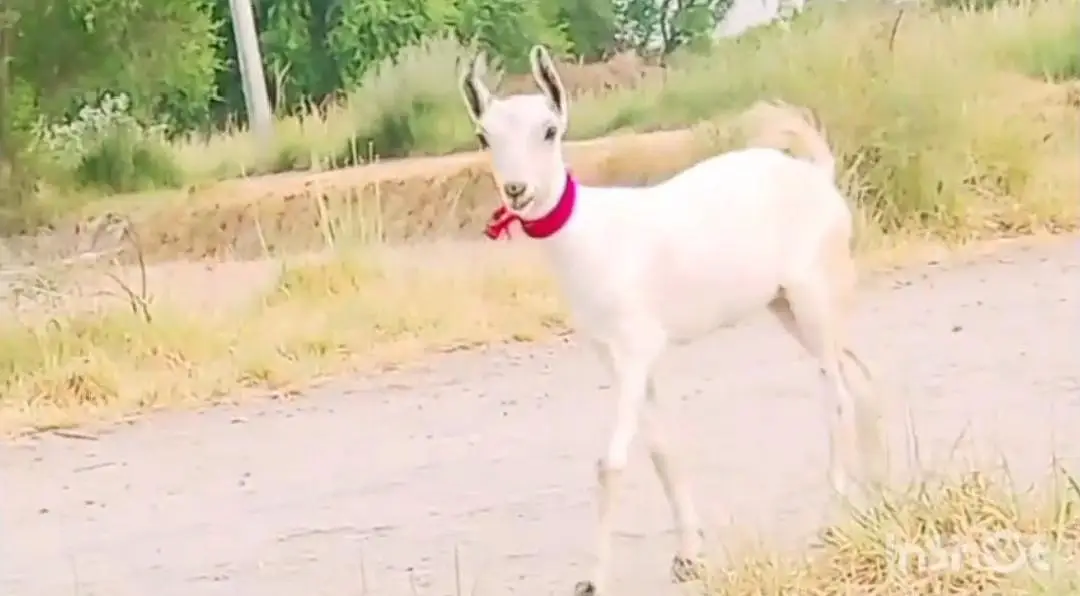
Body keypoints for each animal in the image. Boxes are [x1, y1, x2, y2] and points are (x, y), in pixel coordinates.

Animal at [459, 45, 886, 596]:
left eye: (550, 130)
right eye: (484, 136)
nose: (517, 189)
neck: (593, 237)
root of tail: (818, 173)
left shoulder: (634, 351)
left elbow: (611, 464)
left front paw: (592, 580)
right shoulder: (622, 357)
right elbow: (663, 449)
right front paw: (688, 555)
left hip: (812, 296)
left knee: (837, 396)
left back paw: (834, 518)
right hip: (793, 305)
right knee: (862, 377)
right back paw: (880, 495)